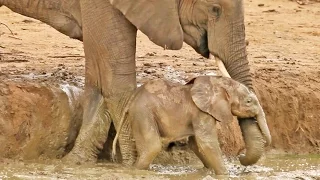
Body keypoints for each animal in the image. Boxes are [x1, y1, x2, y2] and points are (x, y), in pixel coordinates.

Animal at [112, 75, 270, 174]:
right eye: (248, 101)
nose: (240, 156)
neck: (216, 82)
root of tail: (132, 99)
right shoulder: (201, 112)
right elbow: (207, 142)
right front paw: (225, 174)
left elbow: (196, 144)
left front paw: (208, 170)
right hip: (143, 113)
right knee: (152, 146)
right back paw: (137, 171)